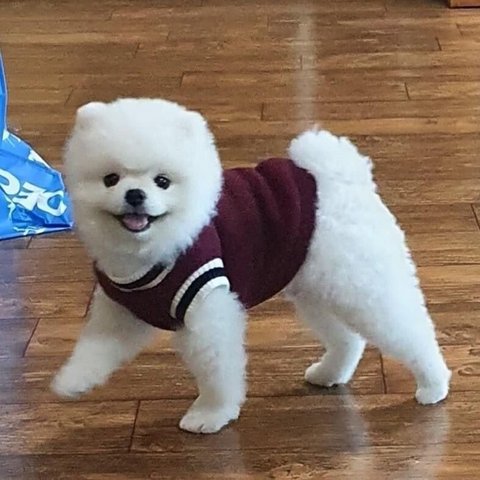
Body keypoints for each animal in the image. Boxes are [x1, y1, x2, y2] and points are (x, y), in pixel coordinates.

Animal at [52, 98, 451, 434]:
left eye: (162, 181)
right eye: (110, 179)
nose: (135, 195)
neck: (154, 253)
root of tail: (340, 177)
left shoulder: (207, 309)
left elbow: (217, 370)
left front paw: (210, 413)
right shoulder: (122, 308)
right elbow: (96, 347)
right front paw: (72, 380)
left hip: (361, 284)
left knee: (410, 330)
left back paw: (433, 383)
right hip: (316, 287)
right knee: (348, 338)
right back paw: (330, 372)